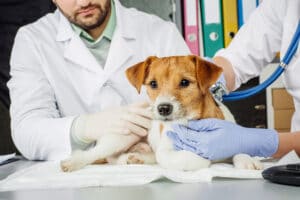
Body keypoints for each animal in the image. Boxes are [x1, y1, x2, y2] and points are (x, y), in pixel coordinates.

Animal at [61, 55, 262, 171]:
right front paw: (203, 159)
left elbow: (238, 149)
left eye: (184, 82)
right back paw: (73, 163)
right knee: (97, 154)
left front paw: (247, 159)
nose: (163, 108)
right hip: (121, 136)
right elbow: (185, 159)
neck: (193, 122)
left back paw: (134, 158)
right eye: (153, 84)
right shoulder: (167, 151)